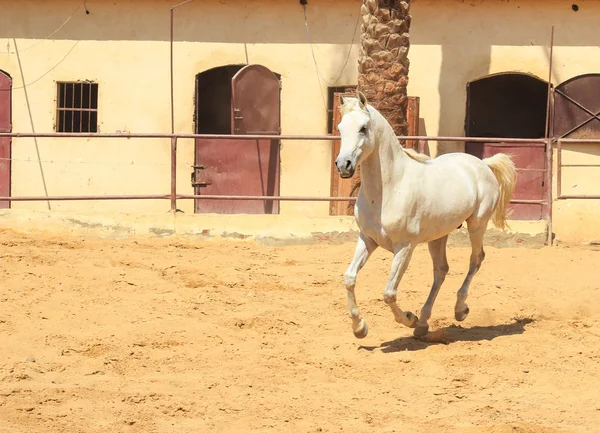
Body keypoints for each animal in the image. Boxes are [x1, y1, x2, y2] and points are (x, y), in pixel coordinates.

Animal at [336, 92, 516, 338]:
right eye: (340, 128)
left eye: (363, 128)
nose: (343, 166)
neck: (389, 189)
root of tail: (483, 164)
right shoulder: (368, 239)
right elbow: (349, 278)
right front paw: (360, 328)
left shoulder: (405, 247)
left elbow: (389, 293)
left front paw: (408, 319)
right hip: (439, 235)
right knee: (441, 270)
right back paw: (423, 323)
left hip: (477, 224)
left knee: (476, 259)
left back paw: (459, 310)